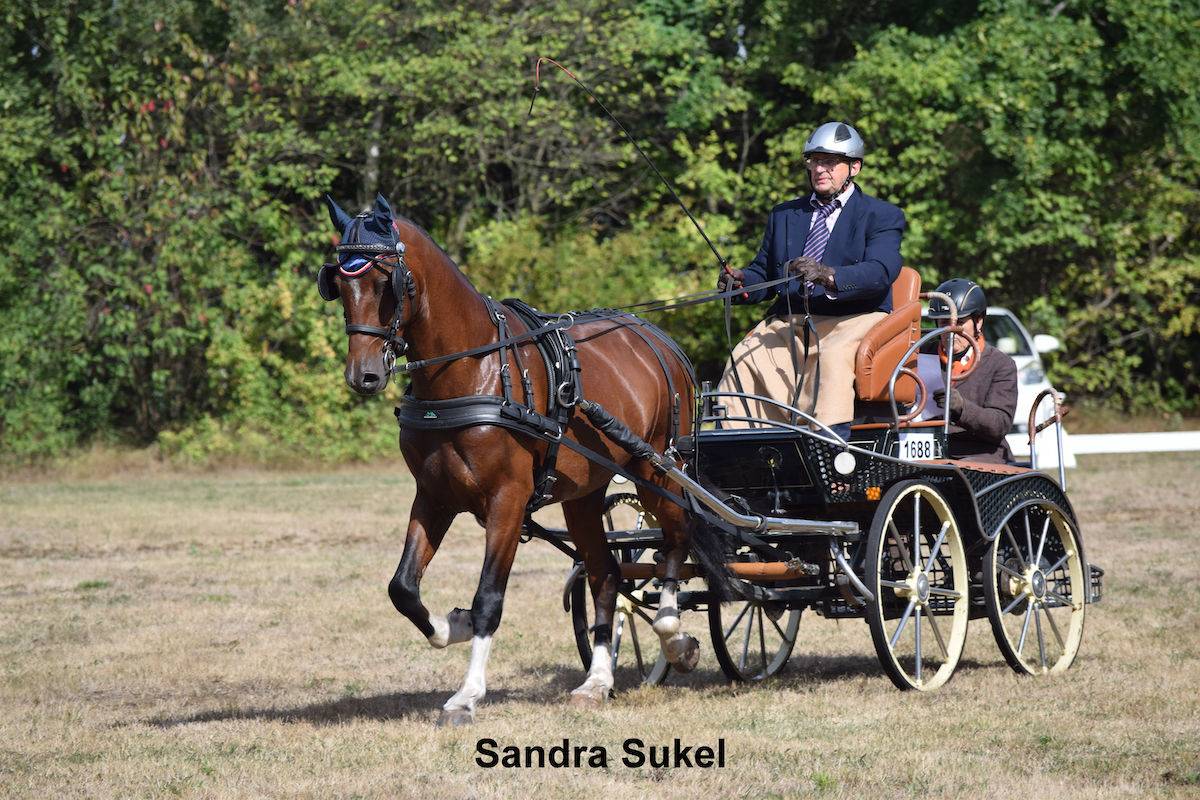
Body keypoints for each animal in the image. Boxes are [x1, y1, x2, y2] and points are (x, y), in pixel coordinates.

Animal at [317, 194, 732, 725]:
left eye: (388, 281)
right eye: (338, 282)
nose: (363, 375)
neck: (472, 370)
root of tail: (658, 339)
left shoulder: (508, 500)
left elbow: (489, 597)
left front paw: (467, 694)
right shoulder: (433, 496)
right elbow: (403, 588)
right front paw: (452, 625)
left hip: (657, 469)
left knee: (675, 543)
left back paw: (673, 635)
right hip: (585, 495)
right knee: (606, 574)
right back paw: (597, 681)